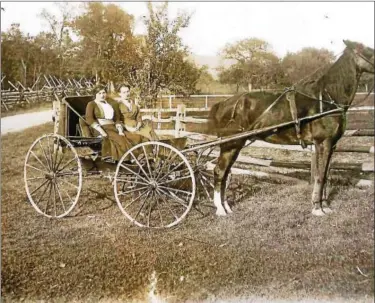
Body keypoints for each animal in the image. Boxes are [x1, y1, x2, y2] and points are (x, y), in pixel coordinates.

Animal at [209, 40, 375, 217]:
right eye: (369, 51)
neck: (327, 99)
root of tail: (223, 104)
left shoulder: (331, 144)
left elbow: (325, 174)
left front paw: (325, 205)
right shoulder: (323, 142)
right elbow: (320, 176)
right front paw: (317, 208)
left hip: (234, 146)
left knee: (225, 173)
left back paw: (226, 207)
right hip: (230, 145)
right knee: (219, 171)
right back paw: (220, 210)